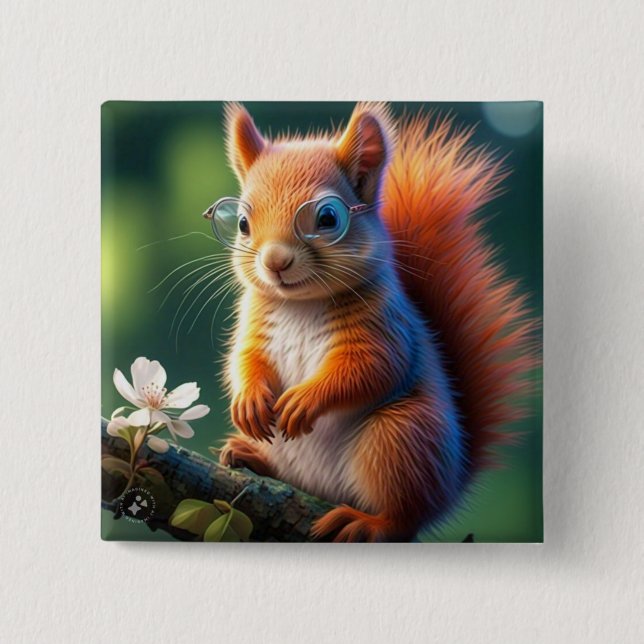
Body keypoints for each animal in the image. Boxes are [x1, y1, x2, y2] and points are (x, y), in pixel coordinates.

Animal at [215, 102, 536, 542]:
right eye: (242, 223)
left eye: (328, 218)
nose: (275, 262)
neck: (301, 304)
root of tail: (449, 490)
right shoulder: (254, 327)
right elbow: (244, 361)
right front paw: (248, 399)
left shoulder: (386, 328)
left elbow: (369, 369)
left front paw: (305, 400)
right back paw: (247, 454)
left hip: (401, 437)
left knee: (403, 515)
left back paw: (366, 522)